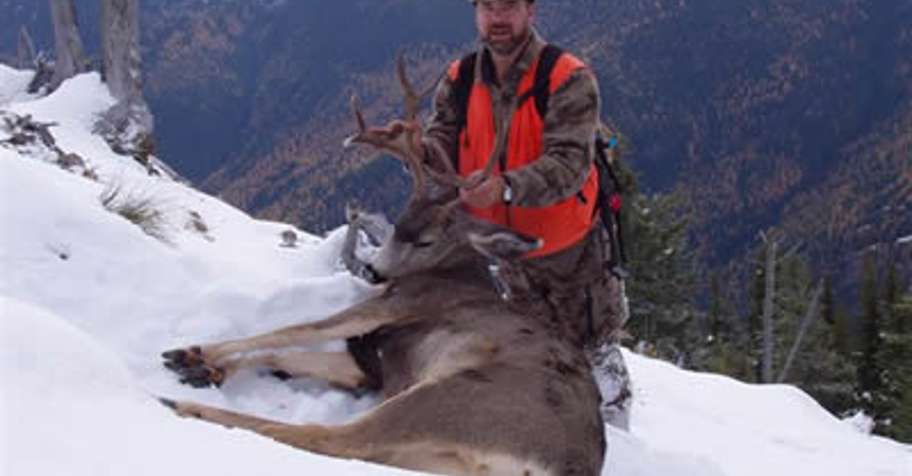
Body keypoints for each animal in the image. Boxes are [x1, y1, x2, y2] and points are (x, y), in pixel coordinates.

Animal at [159, 55, 606, 476]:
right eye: (398, 221)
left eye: (425, 240)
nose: (374, 271)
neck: (451, 273)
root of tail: (565, 465)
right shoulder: (369, 368)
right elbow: (282, 354)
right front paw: (209, 368)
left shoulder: (396, 304)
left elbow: (297, 329)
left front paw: (192, 352)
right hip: (431, 455)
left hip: (448, 398)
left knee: (322, 437)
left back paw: (181, 405)